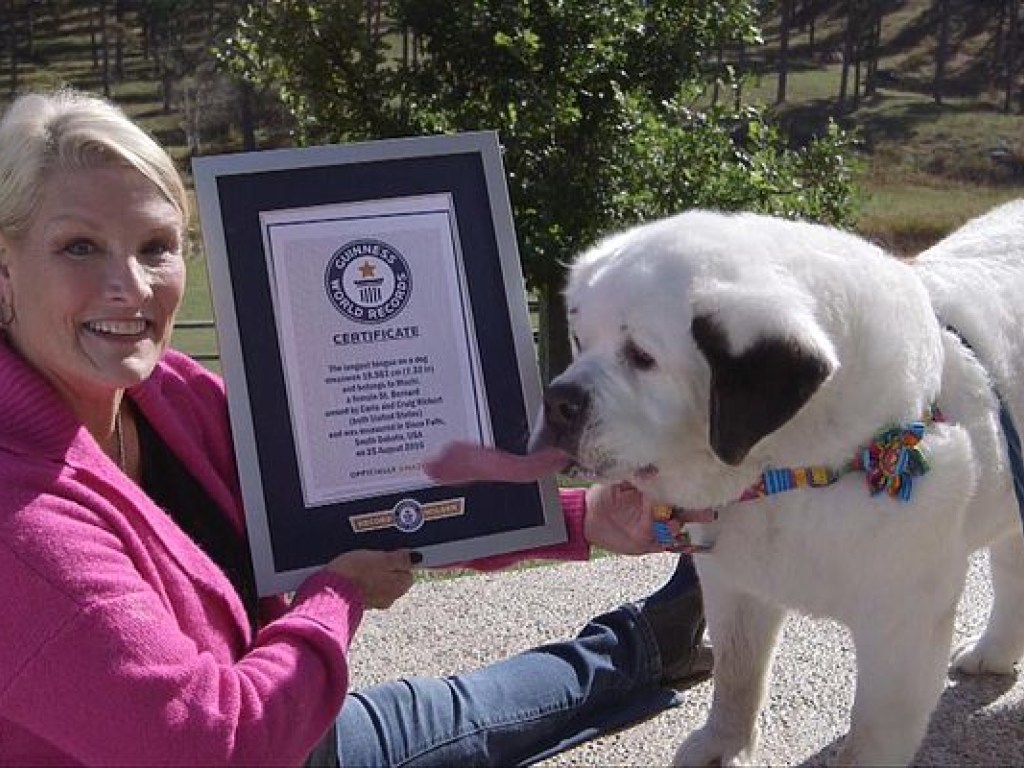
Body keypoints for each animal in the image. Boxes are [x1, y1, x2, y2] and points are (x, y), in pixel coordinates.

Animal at [532, 201, 1024, 765]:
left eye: (642, 357)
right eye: (580, 341)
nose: (558, 400)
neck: (786, 471)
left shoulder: (903, 619)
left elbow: (873, 729)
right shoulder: (734, 582)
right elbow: (737, 675)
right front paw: (720, 746)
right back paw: (992, 654)